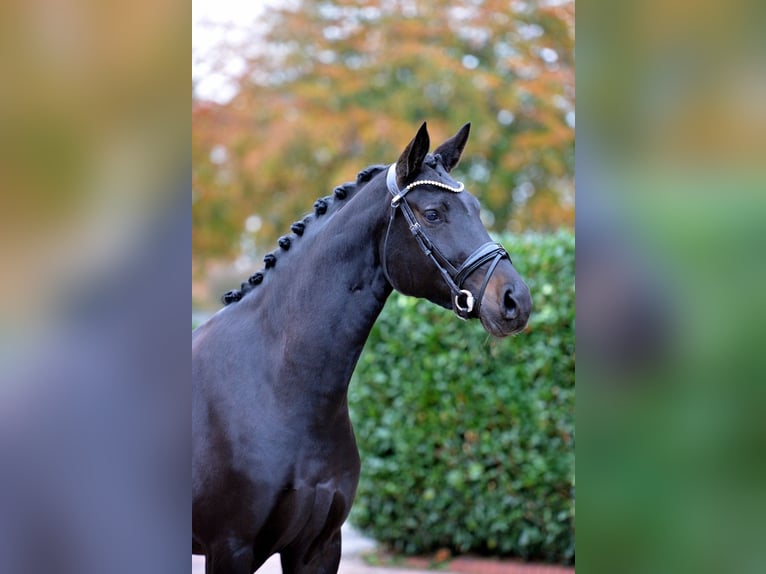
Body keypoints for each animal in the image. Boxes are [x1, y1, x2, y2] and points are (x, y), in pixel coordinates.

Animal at [192, 125, 536, 574]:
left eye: (476, 208)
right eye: (433, 213)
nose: (516, 301)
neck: (278, 387)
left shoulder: (318, 547)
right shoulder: (230, 548)